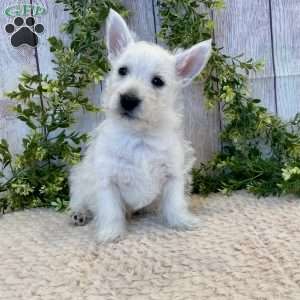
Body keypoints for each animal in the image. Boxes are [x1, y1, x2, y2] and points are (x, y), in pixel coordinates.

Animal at [69, 8, 212, 244]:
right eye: (122, 71)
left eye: (157, 81)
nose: (128, 99)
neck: (139, 137)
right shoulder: (107, 180)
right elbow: (111, 210)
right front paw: (111, 233)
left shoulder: (173, 174)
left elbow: (175, 202)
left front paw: (182, 221)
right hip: (80, 179)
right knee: (78, 198)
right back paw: (78, 214)